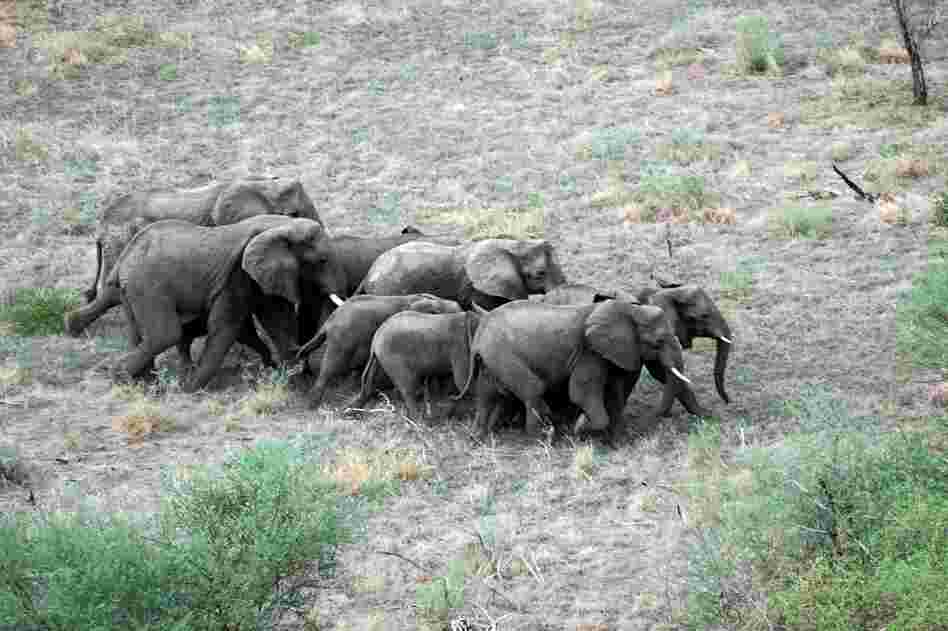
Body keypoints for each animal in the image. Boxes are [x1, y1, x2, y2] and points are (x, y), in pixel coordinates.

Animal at [81, 215, 342, 392]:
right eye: (322, 260)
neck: (282, 225)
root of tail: (126, 255)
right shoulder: (235, 275)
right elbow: (228, 326)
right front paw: (189, 389)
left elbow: (273, 318)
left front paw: (283, 373)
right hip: (148, 286)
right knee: (166, 334)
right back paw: (121, 376)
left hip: (132, 289)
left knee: (139, 332)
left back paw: (144, 382)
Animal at [348, 310, 480, 420]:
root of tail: (375, 342)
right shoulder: (460, 346)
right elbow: (462, 381)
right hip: (393, 358)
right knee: (408, 388)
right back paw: (419, 422)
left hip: (380, 359)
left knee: (369, 383)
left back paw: (351, 411)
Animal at [456, 300, 692, 444]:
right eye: (658, 342)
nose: (659, 416)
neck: (628, 309)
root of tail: (481, 330)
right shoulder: (589, 352)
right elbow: (581, 393)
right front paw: (579, 428)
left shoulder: (609, 354)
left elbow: (614, 393)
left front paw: (618, 442)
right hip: (502, 353)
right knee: (532, 389)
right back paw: (541, 438)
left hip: (491, 358)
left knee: (486, 393)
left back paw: (478, 437)